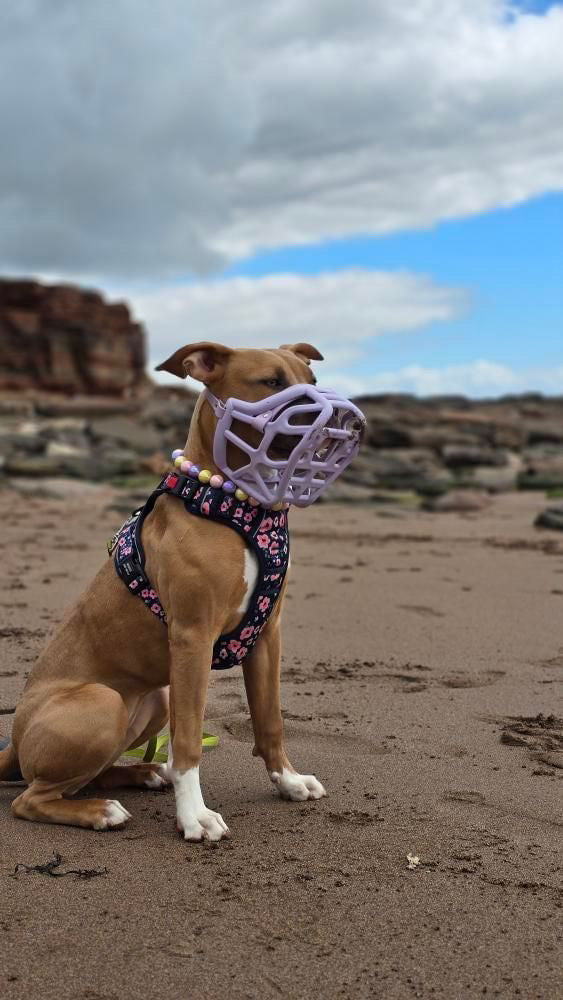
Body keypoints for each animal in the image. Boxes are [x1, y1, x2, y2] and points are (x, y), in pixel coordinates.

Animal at [0, 342, 326, 836]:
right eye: (271, 382)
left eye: (313, 379)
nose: (344, 421)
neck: (233, 503)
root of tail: (14, 742)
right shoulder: (192, 637)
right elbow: (188, 739)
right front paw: (193, 815)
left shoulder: (267, 636)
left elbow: (270, 720)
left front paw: (287, 781)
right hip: (103, 702)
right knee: (31, 798)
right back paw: (101, 810)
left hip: (156, 697)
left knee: (89, 776)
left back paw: (144, 773)